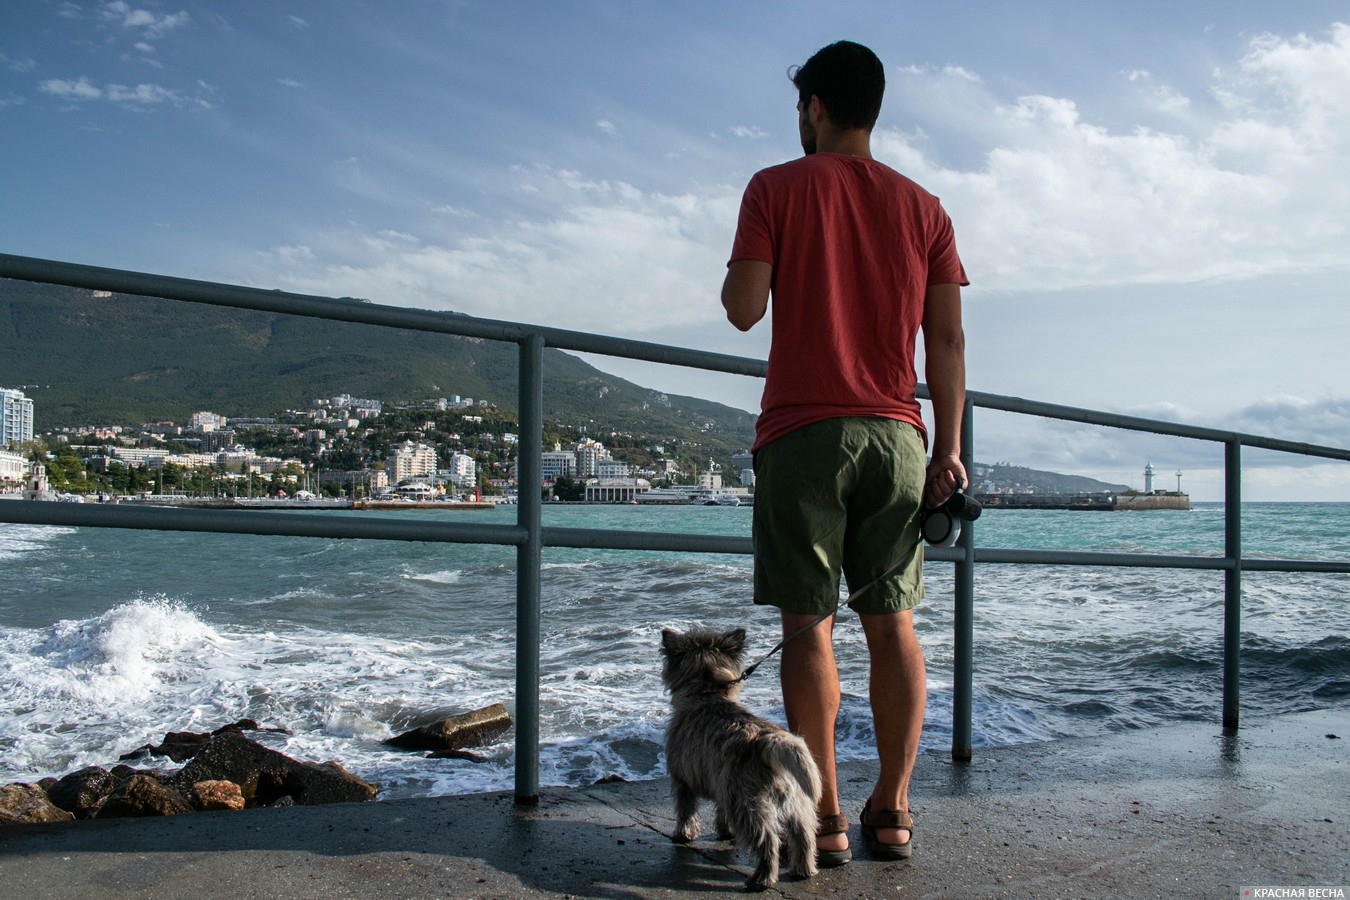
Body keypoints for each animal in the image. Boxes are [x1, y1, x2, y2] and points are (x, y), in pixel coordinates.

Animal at [656, 631, 815, 890]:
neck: (707, 693)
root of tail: (768, 743)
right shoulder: (720, 784)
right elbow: (720, 812)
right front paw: (725, 831)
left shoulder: (682, 778)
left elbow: (685, 809)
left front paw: (683, 834)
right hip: (794, 801)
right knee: (802, 833)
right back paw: (804, 869)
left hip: (746, 802)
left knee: (768, 840)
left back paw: (761, 878)